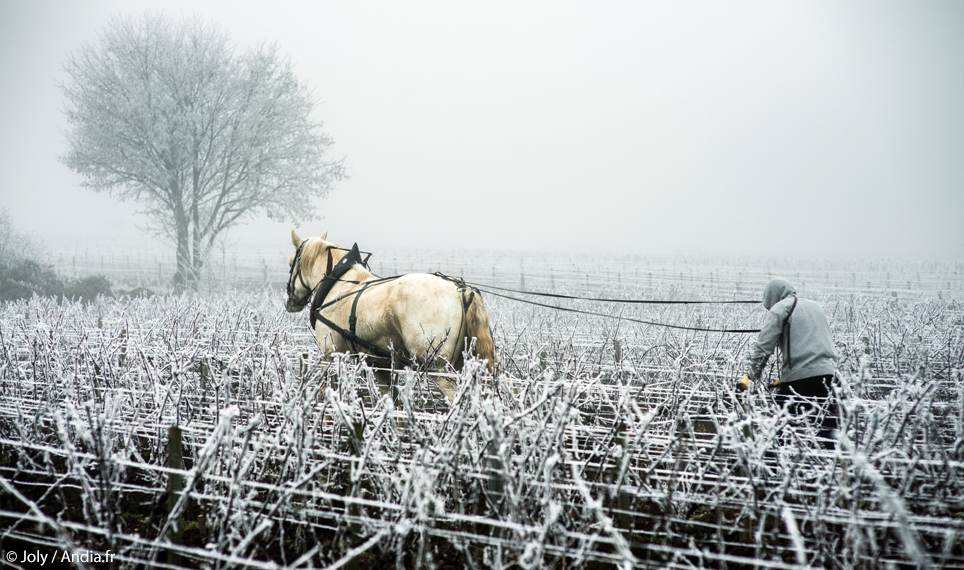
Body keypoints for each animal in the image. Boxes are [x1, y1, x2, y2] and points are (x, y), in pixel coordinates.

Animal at [284, 227, 498, 400]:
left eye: (290, 263)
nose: (289, 301)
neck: (339, 283)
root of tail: (462, 290)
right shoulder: (380, 364)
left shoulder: (330, 355)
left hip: (438, 369)